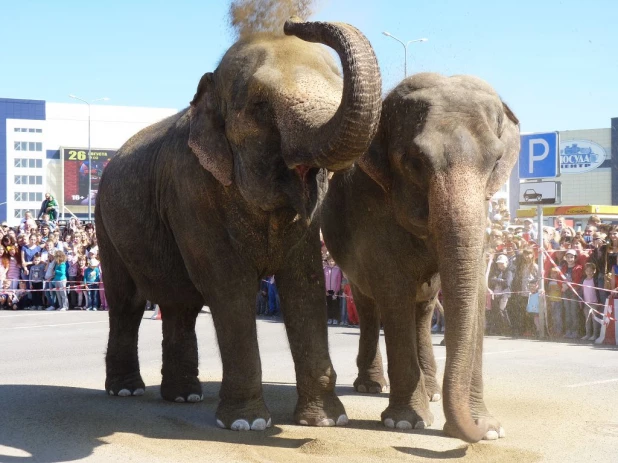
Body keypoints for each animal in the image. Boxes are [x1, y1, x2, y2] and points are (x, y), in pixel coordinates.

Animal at [95, 17, 380, 432]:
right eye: (260, 107)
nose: (291, 22)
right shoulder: (190, 190)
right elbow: (230, 285)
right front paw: (248, 425)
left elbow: (305, 285)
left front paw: (327, 422)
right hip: (105, 223)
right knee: (126, 303)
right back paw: (127, 391)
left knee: (180, 305)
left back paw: (184, 396)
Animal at [320, 73, 516, 446]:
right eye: (414, 162)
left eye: (495, 161)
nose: (471, 433)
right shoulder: (372, 210)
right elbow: (393, 290)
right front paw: (405, 423)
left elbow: (474, 289)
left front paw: (490, 429)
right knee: (369, 304)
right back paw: (371, 386)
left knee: (423, 308)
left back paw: (432, 391)